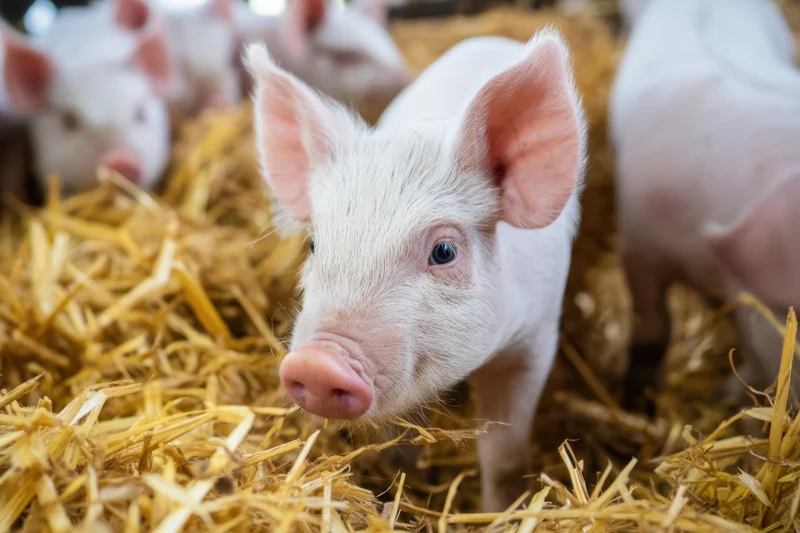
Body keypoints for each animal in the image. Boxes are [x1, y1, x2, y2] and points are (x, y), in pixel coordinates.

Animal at [245, 27, 587, 512]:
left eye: (443, 251)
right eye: (313, 244)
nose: (317, 363)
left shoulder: (534, 338)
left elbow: (503, 454)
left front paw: (499, 512)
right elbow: (394, 443)